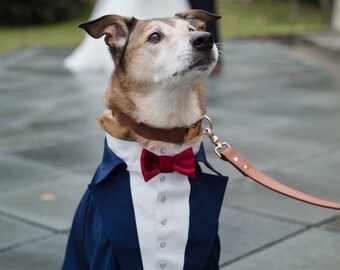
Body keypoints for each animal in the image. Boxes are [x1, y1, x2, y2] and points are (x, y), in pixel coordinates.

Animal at [62, 9, 230, 268]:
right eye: (154, 37)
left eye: (191, 30)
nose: (205, 39)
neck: (164, 137)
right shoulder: (106, 251)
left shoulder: (208, 251)